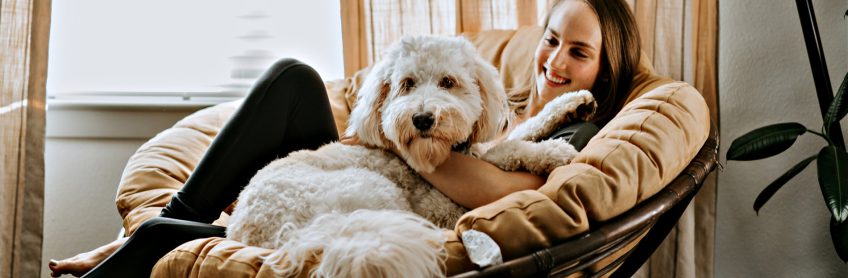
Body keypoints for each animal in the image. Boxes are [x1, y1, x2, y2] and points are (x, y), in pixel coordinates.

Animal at [225, 35, 596, 278]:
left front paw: (572, 103)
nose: (422, 118)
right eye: (406, 83)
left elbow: (519, 131)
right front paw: (552, 150)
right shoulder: (444, 204)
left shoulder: (475, 149)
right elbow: (507, 148)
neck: (448, 152)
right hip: (374, 193)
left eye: (448, 82)